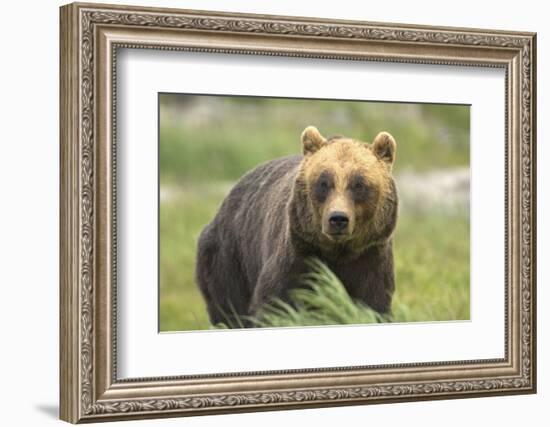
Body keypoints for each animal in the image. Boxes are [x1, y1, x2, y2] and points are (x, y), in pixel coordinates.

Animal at [196, 125, 398, 326]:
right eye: (323, 183)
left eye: (359, 184)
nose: (338, 219)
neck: (339, 252)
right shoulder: (298, 255)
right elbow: (274, 303)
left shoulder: (370, 259)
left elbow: (373, 305)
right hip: (229, 258)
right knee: (230, 308)